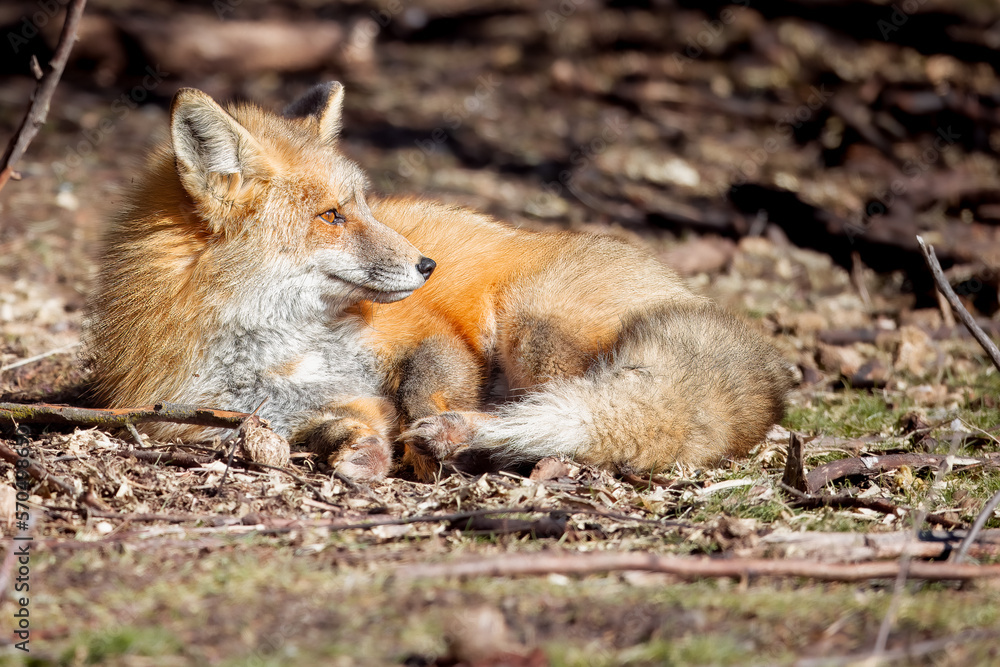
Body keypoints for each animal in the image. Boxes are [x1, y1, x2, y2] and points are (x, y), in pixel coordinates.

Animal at [86, 82, 792, 480]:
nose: (428, 267)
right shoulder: (197, 416)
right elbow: (332, 421)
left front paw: (431, 446)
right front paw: (363, 451)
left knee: (590, 411)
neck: (286, 347)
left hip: (534, 330)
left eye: (363, 206)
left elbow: (426, 391)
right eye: (333, 216)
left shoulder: (433, 339)